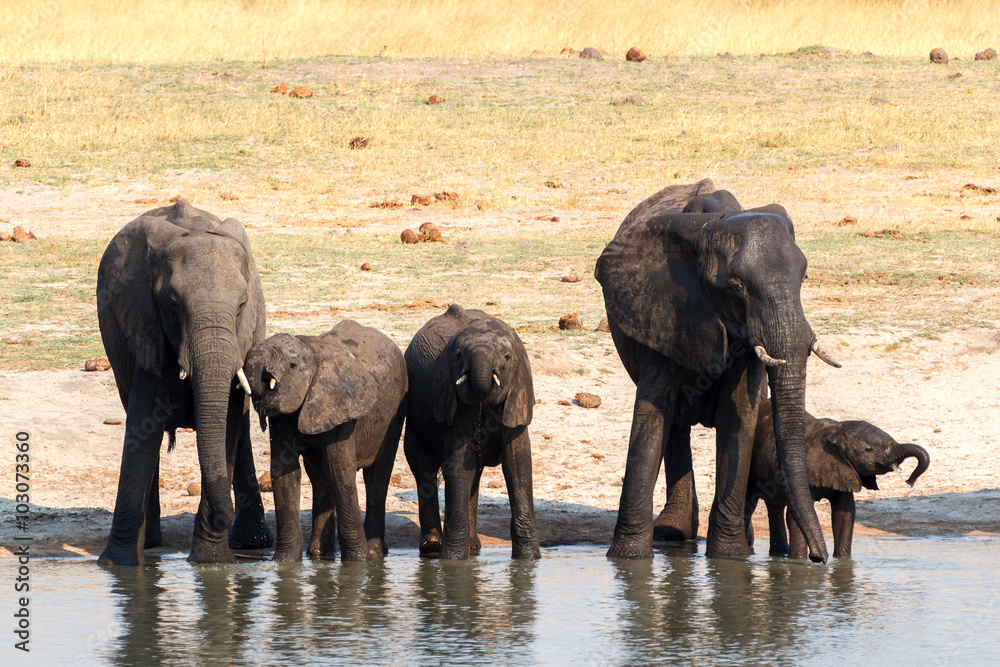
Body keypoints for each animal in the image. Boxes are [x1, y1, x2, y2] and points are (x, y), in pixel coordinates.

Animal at [96, 200, 272, 566]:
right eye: (173, 302)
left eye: (241, 304)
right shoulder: (146, 326)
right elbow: (142, 427)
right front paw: (118, 566)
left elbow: (228, 424)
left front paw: (211, 564)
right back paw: (151, 542)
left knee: (240, 428)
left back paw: (251, 543)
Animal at [243, 320, 408, 562]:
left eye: (292, 365)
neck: (312, 351)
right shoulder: (285, 414)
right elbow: (284, 474)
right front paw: (284, 563)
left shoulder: (342, 407)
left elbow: (339, 472)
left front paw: (359, 562)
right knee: (320, 477)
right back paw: (320, 555)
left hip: (395, 412)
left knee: (376, 476)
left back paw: (374, 553)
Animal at [404, 304, 540, 560]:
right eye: (458, 356)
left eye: (507, 357)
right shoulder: (453, 399)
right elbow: (458, 463)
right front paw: (452, 561)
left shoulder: (517, 397)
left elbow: (518, 465)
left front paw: (528, 560)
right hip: (413, 414)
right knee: (423, 467)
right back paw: (432, 546)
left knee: (474, 472)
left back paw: (471, 548)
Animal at [594, 179, 841, 561]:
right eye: (736, 287)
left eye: (803, 278)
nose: (819, 557)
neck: (711, 228)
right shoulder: (665, 310)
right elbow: (652, 416)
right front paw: (627, 560)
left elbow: (738, 414)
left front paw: (730, 558)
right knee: (675, 423)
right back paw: (670, 532)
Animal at [746, 399, 930, 558]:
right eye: (868, 449)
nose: (909, 481)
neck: (836, 432)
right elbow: (796, 518)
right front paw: (800, 563)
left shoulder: (844, 470)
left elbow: (844, 513)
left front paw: (842, 561)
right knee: (751, 503)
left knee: (774, 507)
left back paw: (778, 554)